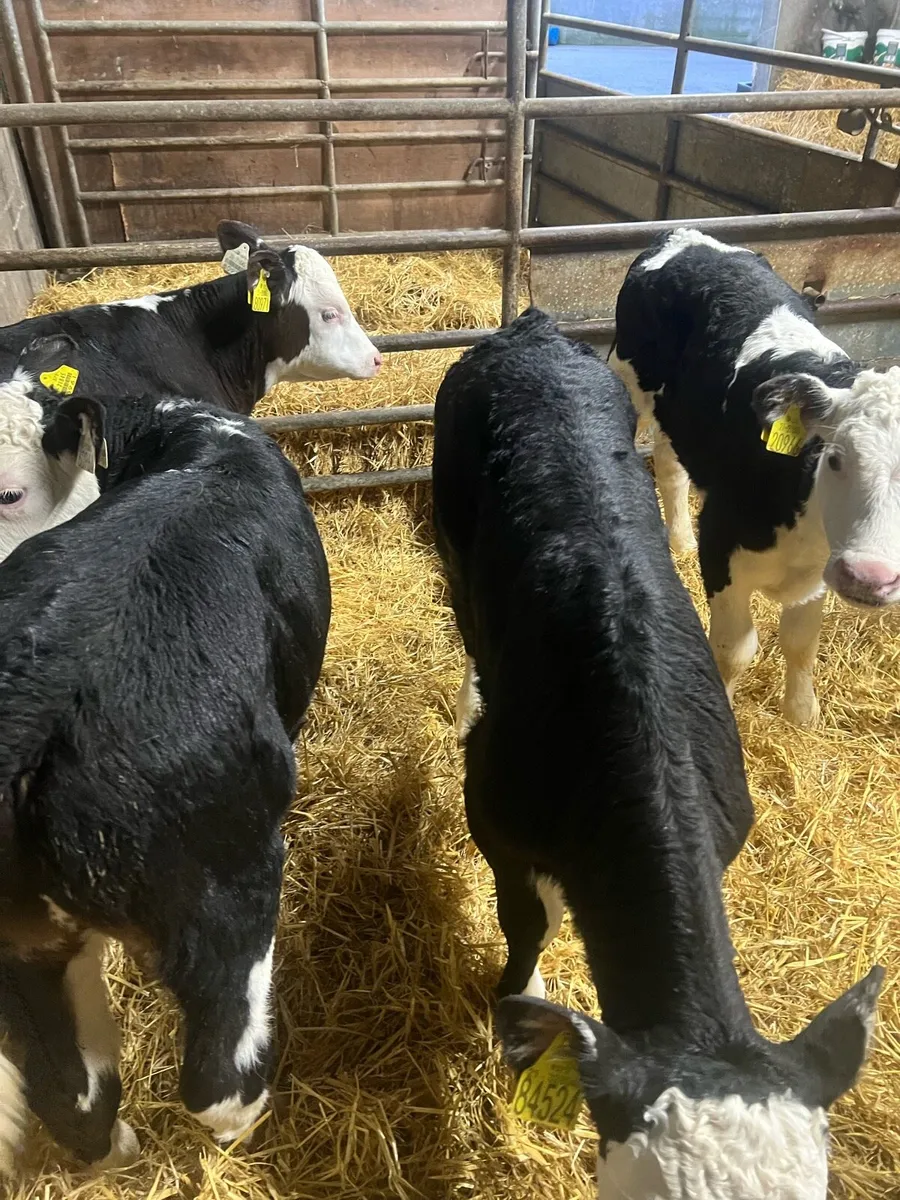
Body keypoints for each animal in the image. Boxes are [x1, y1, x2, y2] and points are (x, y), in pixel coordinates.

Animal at [0, 382, 330, 1175]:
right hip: (224, 890)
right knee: (217, 1077)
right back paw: (243, 1131)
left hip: (24, 949)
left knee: (72, 1091)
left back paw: (118, 1151)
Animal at [610, 227, 900, 726]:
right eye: (836, 458)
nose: (868, 577)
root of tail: (686, 233)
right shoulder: (722, 544)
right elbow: (734, 649)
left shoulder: (817, 571)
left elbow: (801, 642)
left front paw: (802, 715)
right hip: (626, 377)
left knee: (670, 468)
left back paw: (679, 541)